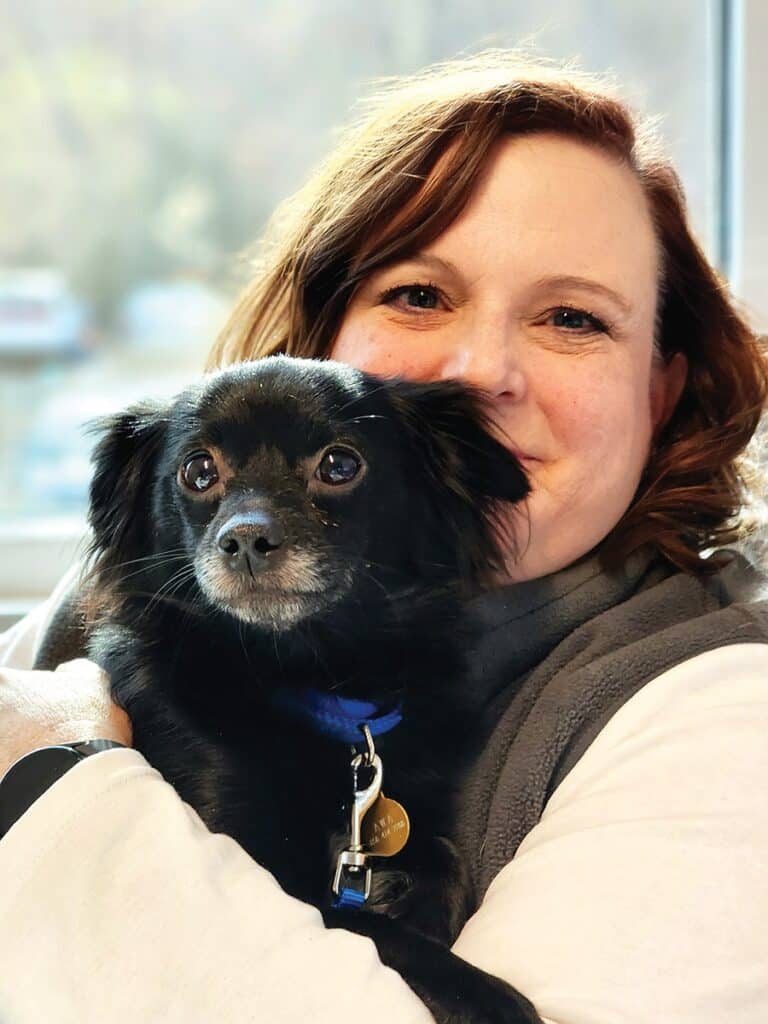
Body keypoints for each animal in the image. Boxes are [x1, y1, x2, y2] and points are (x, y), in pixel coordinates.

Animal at [36, 356, 540, 1019]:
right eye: (198, 471)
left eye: (340, 465)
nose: (246, 538)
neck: (300, 672)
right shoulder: (251, 860)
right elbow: (370, 930)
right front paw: (487, 997)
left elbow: (447, 862)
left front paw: (422, 903)